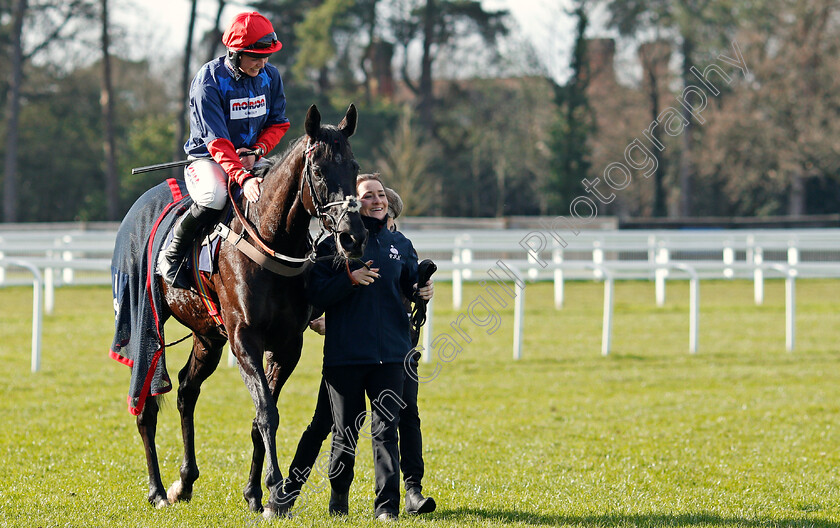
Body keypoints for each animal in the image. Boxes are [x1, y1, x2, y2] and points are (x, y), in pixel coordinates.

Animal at [127, 105, 364, 516]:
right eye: (318, 170)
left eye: (353, 166)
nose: (353, 235)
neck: (270, 240)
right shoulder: (244, 340)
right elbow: (267, 412)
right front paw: (274, 488)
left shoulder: (287, 345)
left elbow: (260, 416)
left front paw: (255, 493)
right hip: (150, 326)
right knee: (147, 407)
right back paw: (156, 490)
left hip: (207, 336)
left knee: (186, 391)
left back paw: (184, 481)